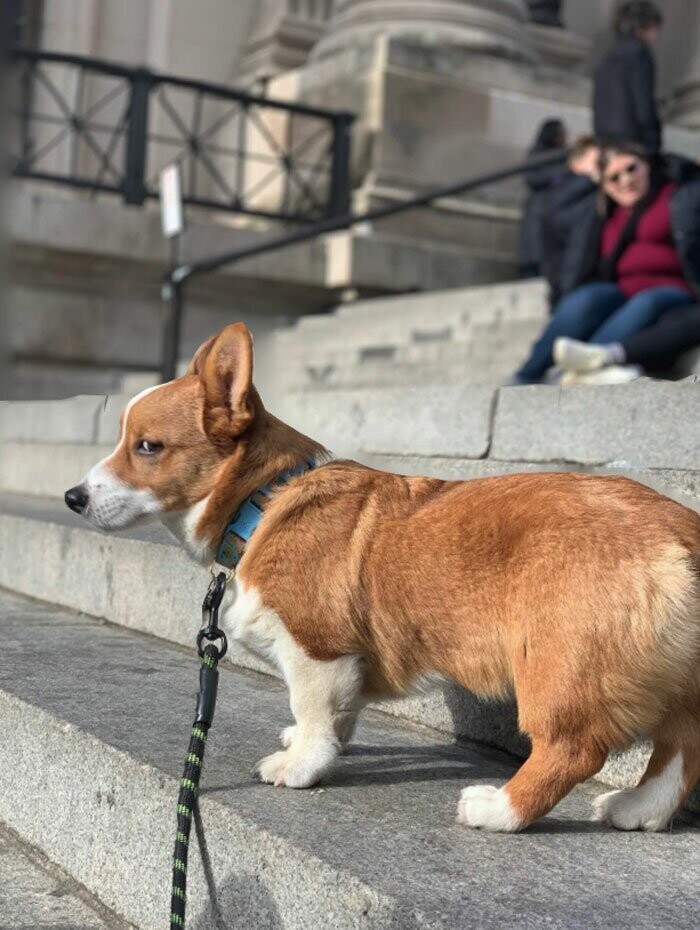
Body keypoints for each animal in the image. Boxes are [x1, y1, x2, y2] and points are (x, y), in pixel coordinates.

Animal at [63, 322, 696, 832]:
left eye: (148, 447)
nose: (72, 498)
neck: (263, 500)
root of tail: (682, 529)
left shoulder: (316, 648)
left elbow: (313, 710)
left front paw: (301, 766)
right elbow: (338, 714)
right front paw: (321, 746)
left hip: (557, 667)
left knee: (575, 749)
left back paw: (498, 810)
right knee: (681, 749)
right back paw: (637, 809)